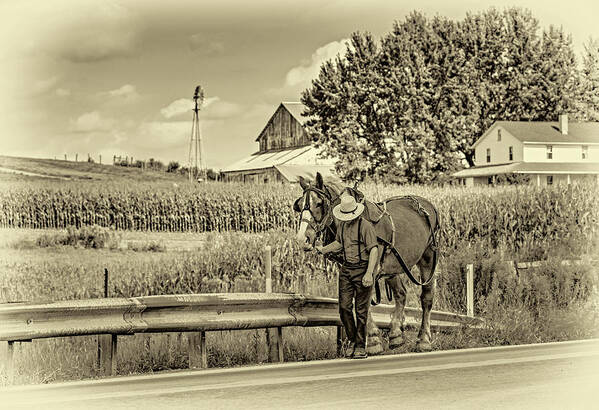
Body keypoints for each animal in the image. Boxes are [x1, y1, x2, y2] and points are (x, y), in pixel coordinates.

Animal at [296, 171, 440, 354]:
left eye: (319, 203)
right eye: (299, 205)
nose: (302, 239)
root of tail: (427, 205)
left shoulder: (371, 269)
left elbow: (363, 303)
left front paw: (371, 341)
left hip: (428, 256)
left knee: (427, 297)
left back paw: (423, 340)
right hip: (393, 265)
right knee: (401, 294)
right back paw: (395, 335)